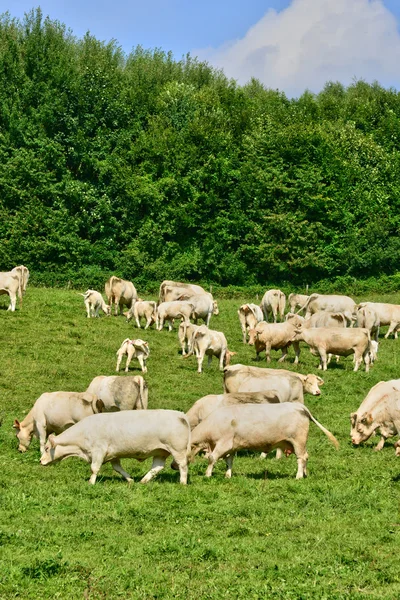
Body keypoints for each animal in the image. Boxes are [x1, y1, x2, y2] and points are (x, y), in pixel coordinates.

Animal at [40, 410, 191, 486]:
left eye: (47, 448)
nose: (40, 461)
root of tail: (180, 415)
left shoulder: (99, 451)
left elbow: (94, 468)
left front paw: (91, 483)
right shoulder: (113, 455)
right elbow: (118, 468)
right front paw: (130, 480)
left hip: (177, 450)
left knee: (183, 466)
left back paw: (182, 483)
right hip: (161, 451)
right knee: (157, 467)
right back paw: (143, 480)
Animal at [190, 400, 338, 480]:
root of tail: (299, 406)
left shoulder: (223, 444)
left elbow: (212, 458)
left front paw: (207, 474)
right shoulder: (232, 446)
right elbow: (229, 461)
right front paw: (227, 475)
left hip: (298, 441)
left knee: (301, 458)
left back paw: (299, 476)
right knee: (306, 456)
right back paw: (305, 474)